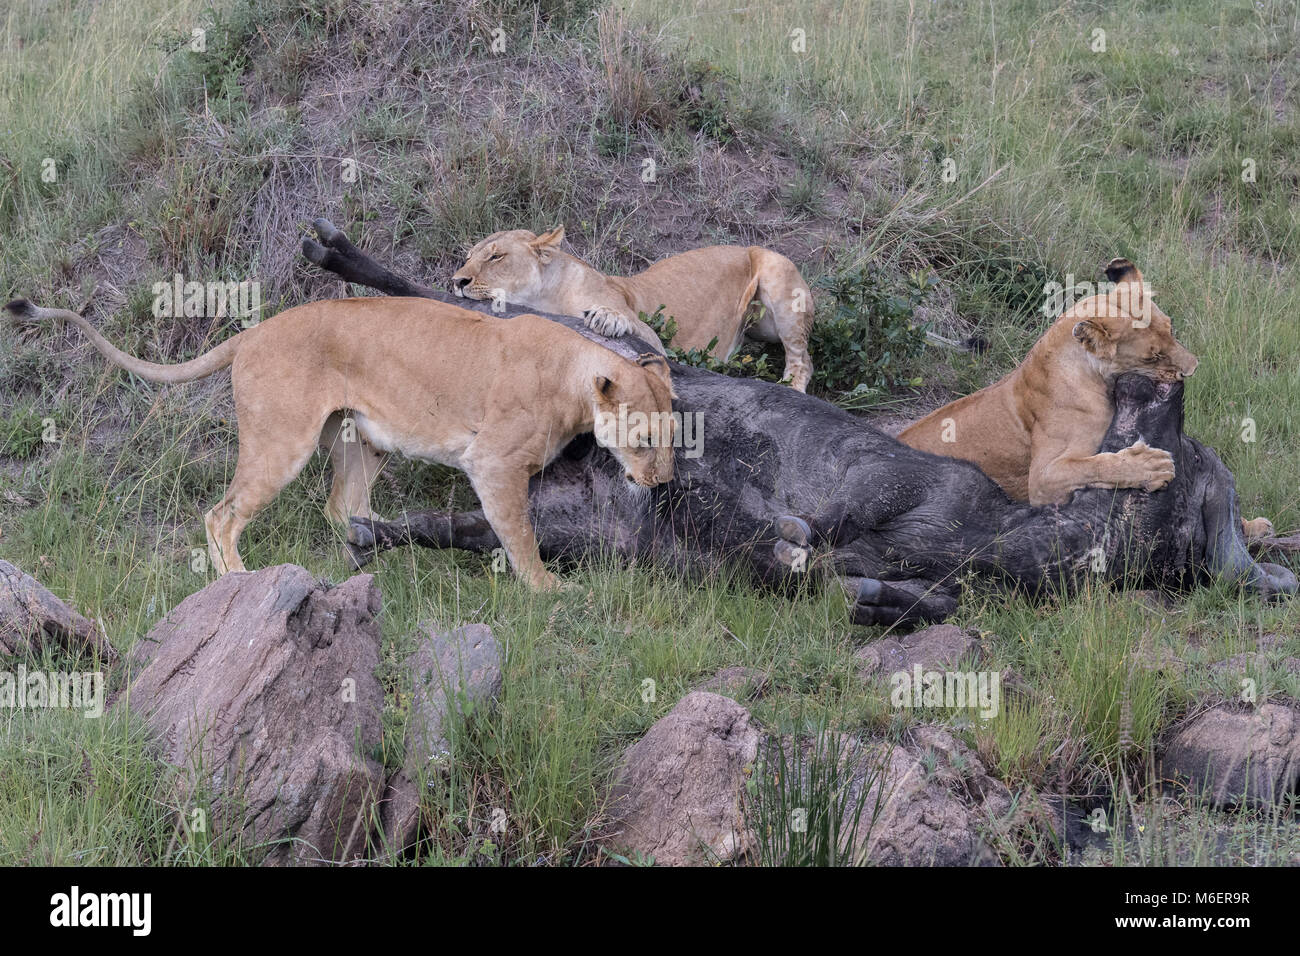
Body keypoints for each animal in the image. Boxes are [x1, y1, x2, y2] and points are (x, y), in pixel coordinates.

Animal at [5, 296, 677, 589]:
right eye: (644, 439)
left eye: (675, 439)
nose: (663, 482)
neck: (573, 376)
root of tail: (251, 333)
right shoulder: (492, 463)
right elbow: (522, 535)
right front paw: (548, 591)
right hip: (281, 441)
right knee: (222, 514)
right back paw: (240, 578)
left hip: (362, 438)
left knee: (341, 507)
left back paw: (378, 548)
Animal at [450, 226, 817, 392]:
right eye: (467, 256)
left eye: (496, 257)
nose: (456, 281)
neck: (547, 297)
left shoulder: (653, 338)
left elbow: (625, 320)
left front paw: (605, 318)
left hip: (778, 276)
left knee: (803, 360)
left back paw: (790, 389)